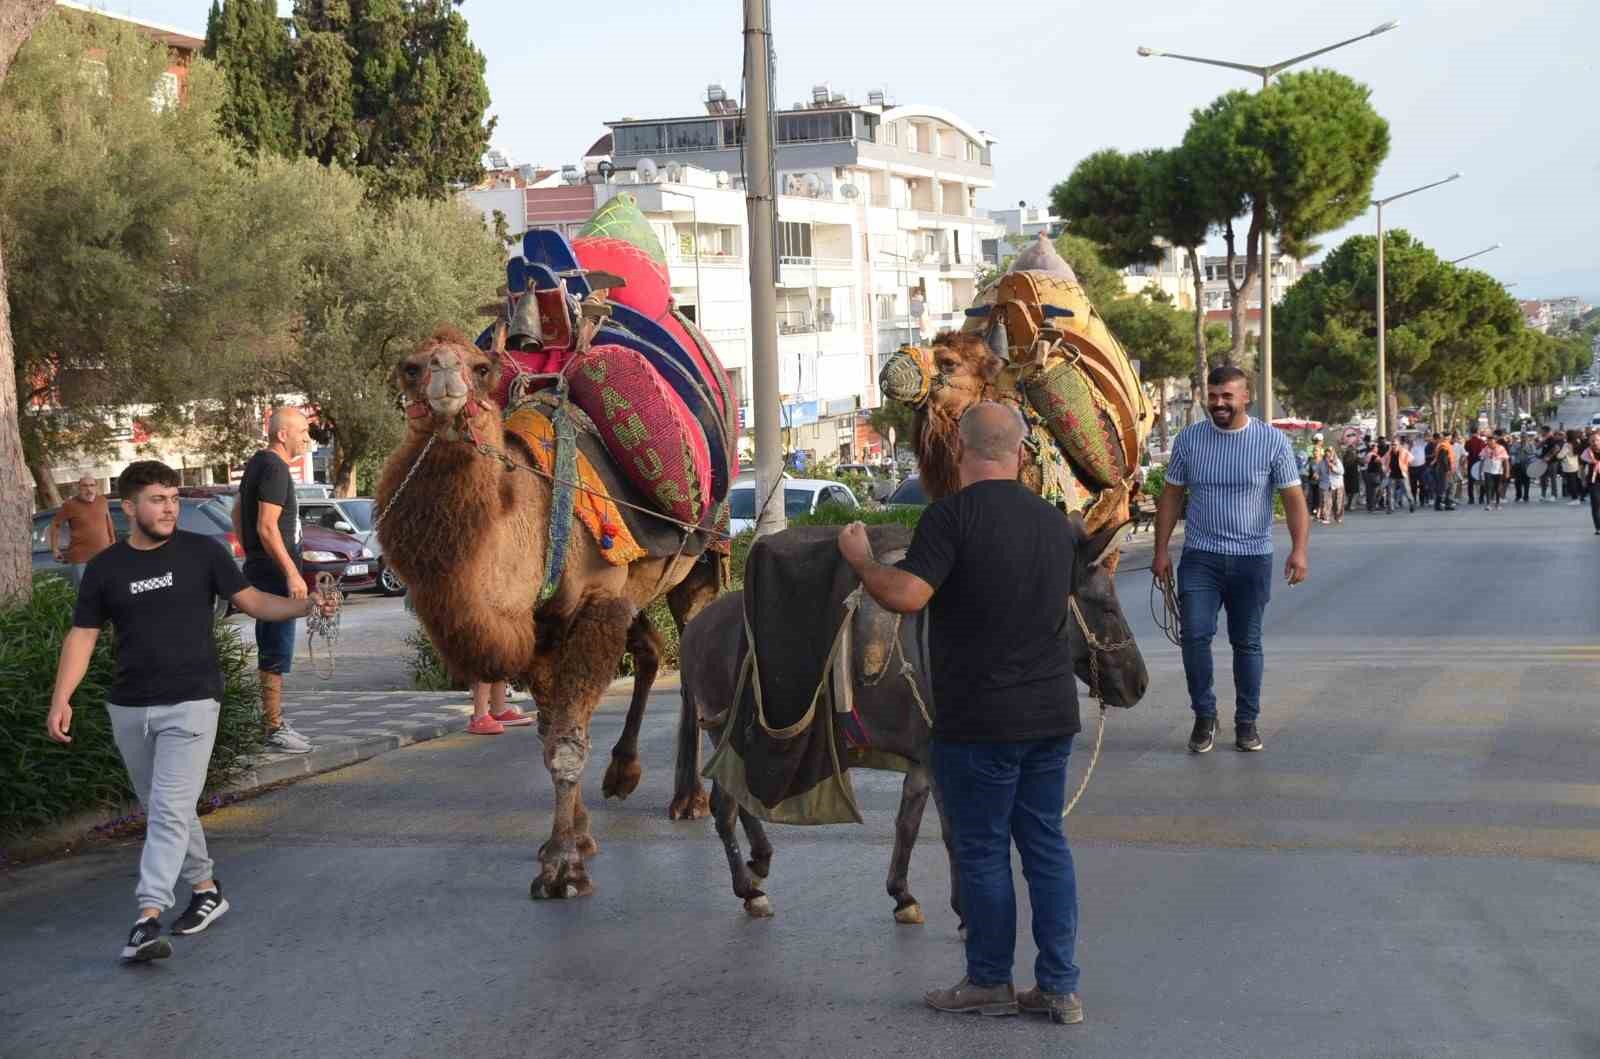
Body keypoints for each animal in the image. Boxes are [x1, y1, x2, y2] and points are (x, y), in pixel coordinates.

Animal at [376, 327, 720, 902]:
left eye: (482, 367)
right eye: (409, 367)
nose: (444, 374)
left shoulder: (596, 603)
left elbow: (565, 740)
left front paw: (562, 868)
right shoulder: (539, 628)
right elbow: (548, 732)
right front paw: (576, 837)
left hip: (700, 560)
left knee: (690, 648)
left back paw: (689, 798)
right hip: (634, 587)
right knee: (652, 648)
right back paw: (623, 772)